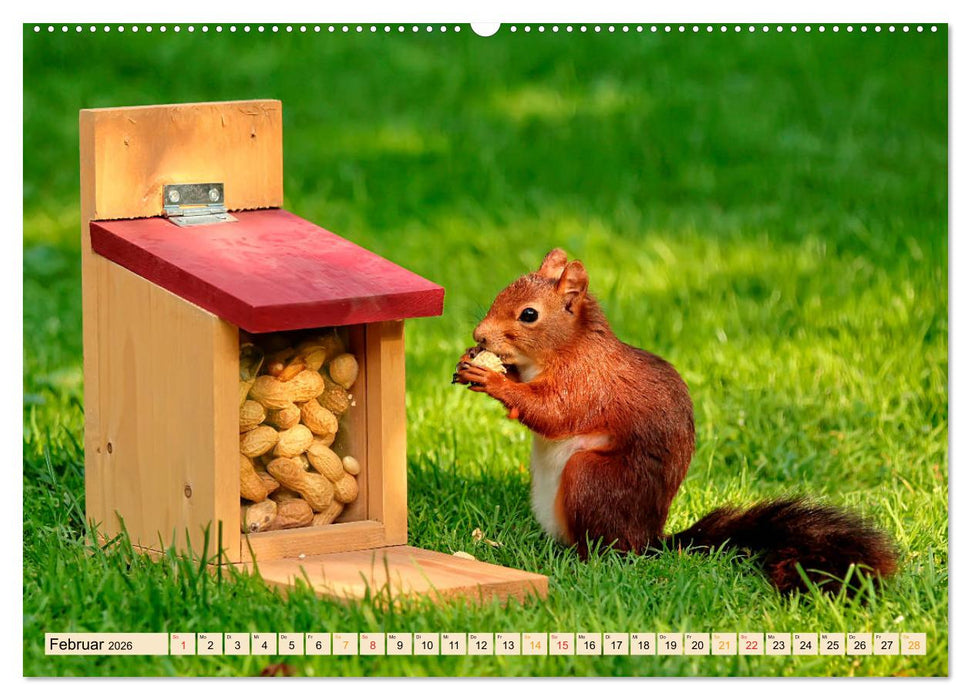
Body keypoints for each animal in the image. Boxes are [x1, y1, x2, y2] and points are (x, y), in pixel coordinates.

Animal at [453, 248, 897, 594]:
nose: (479, 335)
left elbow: (552, 413)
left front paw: (492, 379)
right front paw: (474, 363)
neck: (565, 348)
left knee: (608, 550)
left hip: (591, 479)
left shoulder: (587, 382)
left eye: (529, 315)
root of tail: (650, 540)